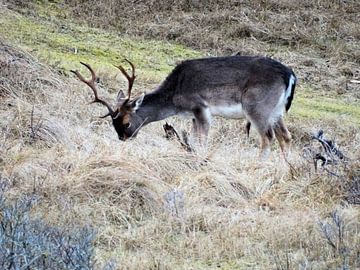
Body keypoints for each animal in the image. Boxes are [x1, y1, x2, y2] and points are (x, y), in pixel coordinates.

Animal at [70, 56, 296, 159]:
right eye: (113, 124)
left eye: (126, 122)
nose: (124, 139)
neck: (175, 97)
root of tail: (290, 75)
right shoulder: (194, 115)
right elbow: (194, 140)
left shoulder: (200, 106)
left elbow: (202, 141)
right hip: (276, 110)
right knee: (286, 136)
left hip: (257, 106)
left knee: (268, 137)